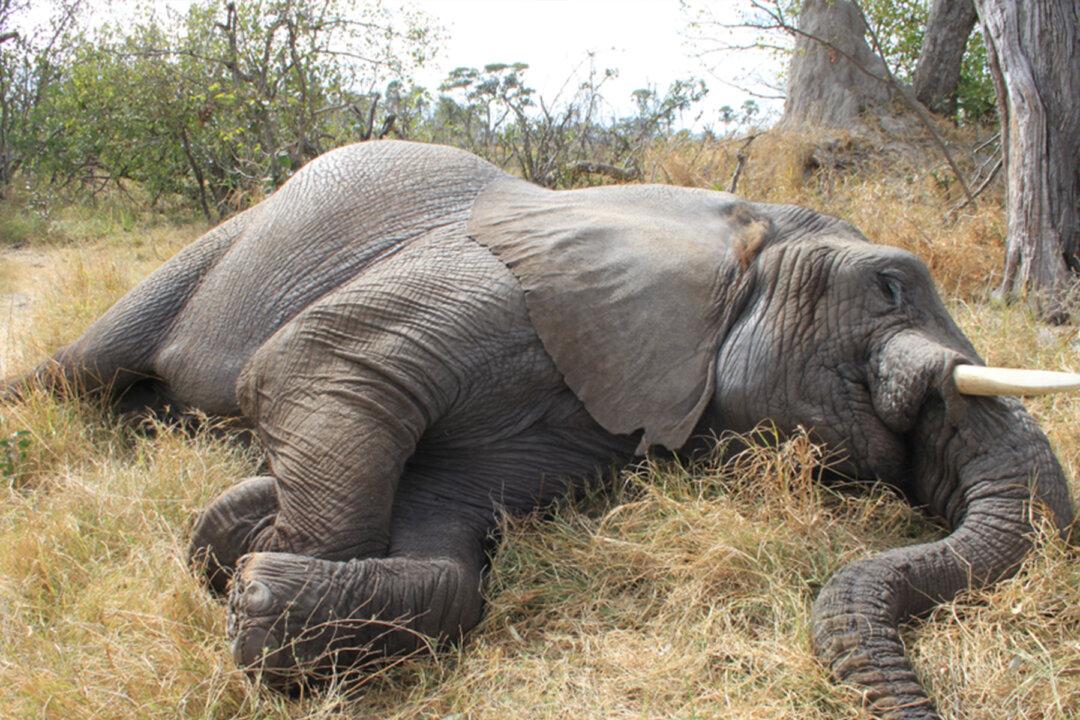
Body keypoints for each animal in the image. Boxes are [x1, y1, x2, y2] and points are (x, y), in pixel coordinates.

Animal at [4, 140, 1075, 719]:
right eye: (891, 285)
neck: (731, 227)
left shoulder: (590, 425)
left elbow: (449, 547)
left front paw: (251, 567)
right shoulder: (496, 280)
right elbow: (320, 360)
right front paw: (243, 552)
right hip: (217, 244)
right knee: (80, 365)